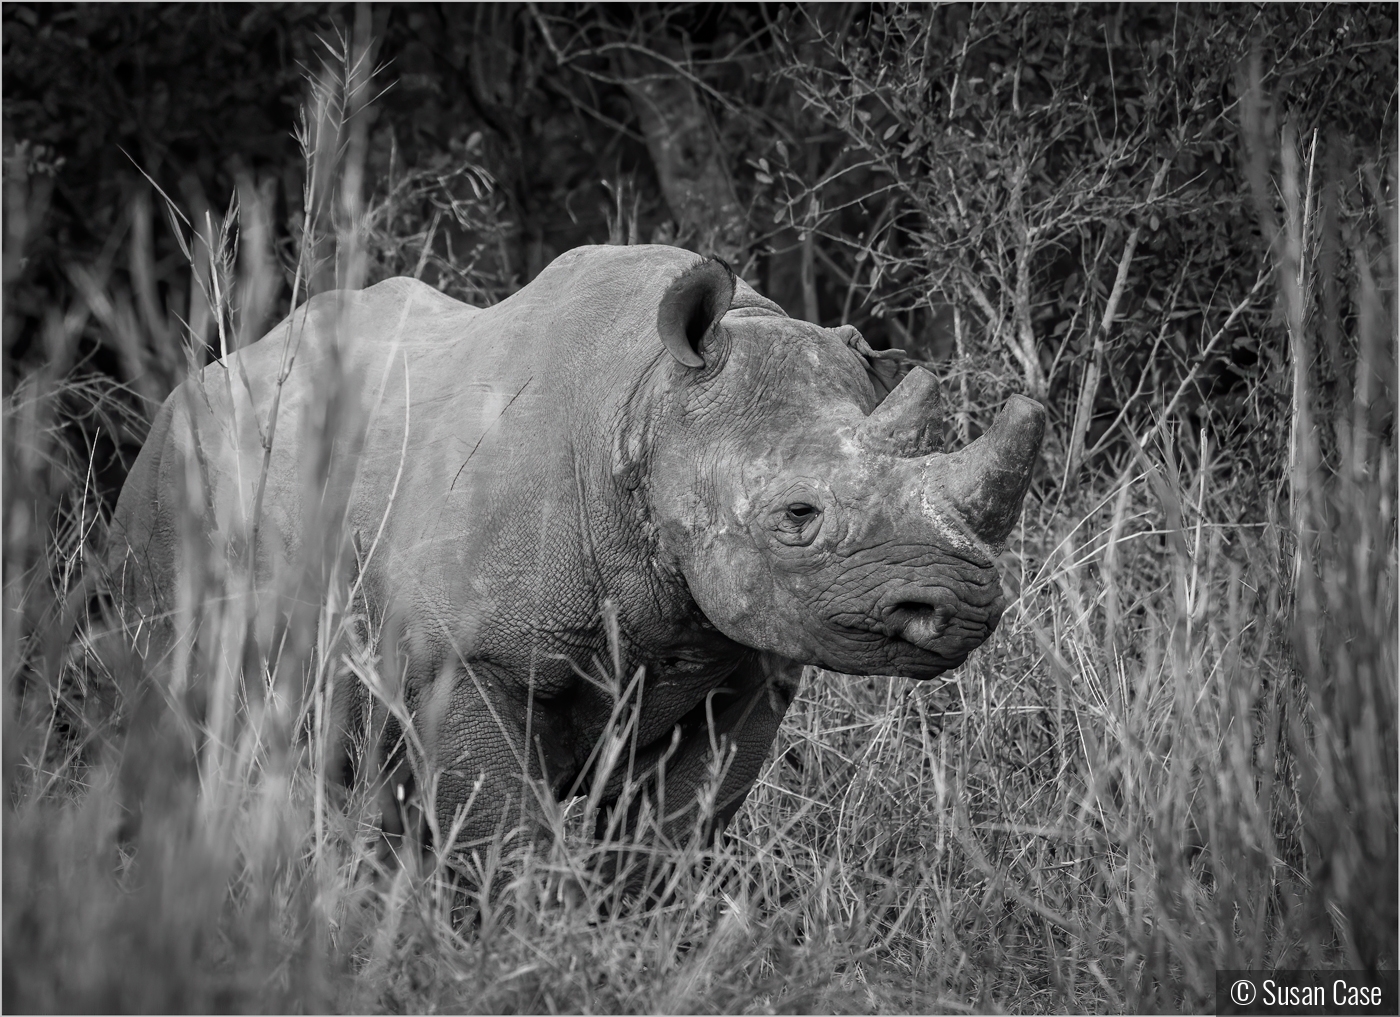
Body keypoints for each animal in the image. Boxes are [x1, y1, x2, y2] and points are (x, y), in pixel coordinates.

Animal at [106, 245, 1041, 851]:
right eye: (798, 515)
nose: (958, 604)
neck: (647, 402)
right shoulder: (462, 661)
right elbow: (508, 836)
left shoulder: (739, 676)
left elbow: (667, 842)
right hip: (169, 491)